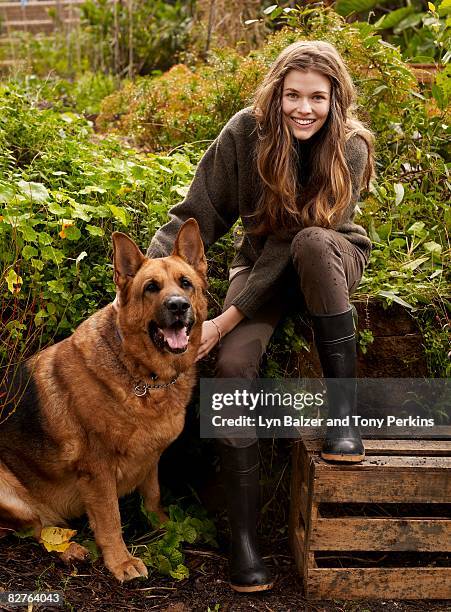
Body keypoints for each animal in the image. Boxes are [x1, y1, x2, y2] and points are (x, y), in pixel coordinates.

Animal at [0, 218, 208, 580]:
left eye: (186, 284)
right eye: (151, 288)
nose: (178, 306)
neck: (144, 378)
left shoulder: (150, 457)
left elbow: (153, 497)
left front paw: (164, 526)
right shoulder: (96, 470)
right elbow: (111, 519)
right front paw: (121, 561)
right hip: (7, 491)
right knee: (35, 528)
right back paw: (69, 549)